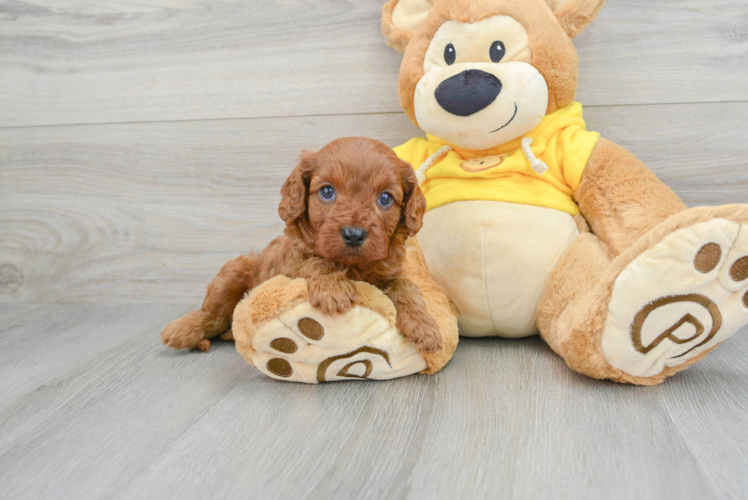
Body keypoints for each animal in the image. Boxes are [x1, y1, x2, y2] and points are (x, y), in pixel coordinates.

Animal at [161, 137, 442, 354]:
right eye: (327, 191)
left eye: (385, 198)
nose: (353, 235)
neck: (352, 266)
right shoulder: (289, 267)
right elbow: (315, 260)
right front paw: (332, 290)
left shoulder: (389, 273)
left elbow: (406, 286)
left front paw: (425, 327)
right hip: (234, 270)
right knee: (214, 315)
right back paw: (183, 331)